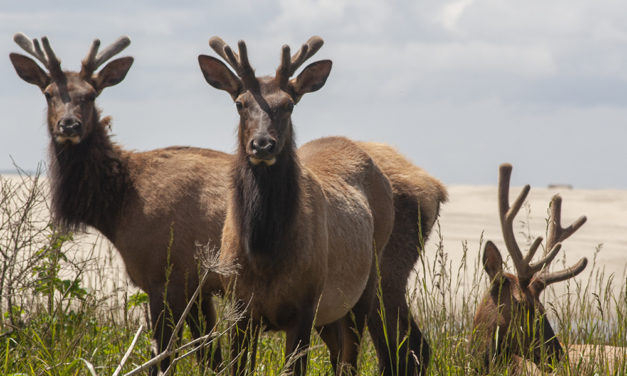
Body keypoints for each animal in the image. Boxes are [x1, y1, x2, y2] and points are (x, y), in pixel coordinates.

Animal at [8, 33, 231, 374]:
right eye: (48, 94)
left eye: (90, 95)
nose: (69, 125)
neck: (116, 208)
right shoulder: (196, 283)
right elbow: (210, 357)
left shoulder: (164, 275)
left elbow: (163, 356)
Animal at [197, 36, 398, 376]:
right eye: (240, 103)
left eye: (288, 104)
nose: (262, 144)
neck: (265, 254)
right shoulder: (238, 306)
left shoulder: (305, 303)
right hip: (329, 315)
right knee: (337, 355)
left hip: (364, 286)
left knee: (350, 359)